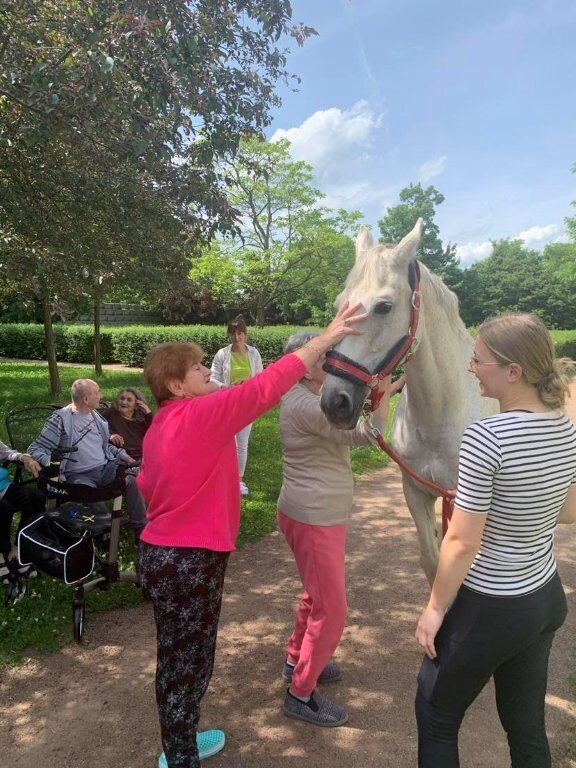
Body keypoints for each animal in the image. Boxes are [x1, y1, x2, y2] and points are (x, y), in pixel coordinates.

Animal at [320, 218, 496, 585]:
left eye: (384, 306)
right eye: (340, 304)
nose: (334, 402)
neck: (440, 414)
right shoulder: (416, 493)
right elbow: (433, 562)